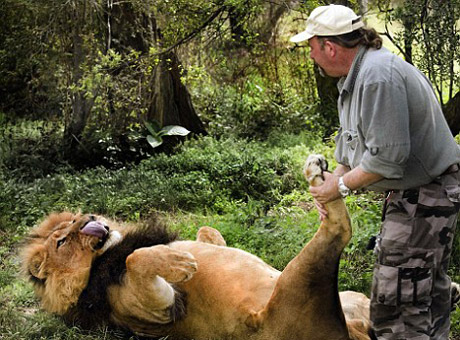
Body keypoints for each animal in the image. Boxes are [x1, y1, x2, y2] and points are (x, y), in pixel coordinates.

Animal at [20, 156, 460, 340]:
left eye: (76, 217)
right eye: (62, 240)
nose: (89, 218)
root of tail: (351, 336)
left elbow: (206, 231)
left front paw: (193, 246)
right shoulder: (154, 310)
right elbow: (135, 257)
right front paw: (181, 262)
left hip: (350, 297)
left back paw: (452, 291)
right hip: (298, 285)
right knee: (338, 226)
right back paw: (318, 178)